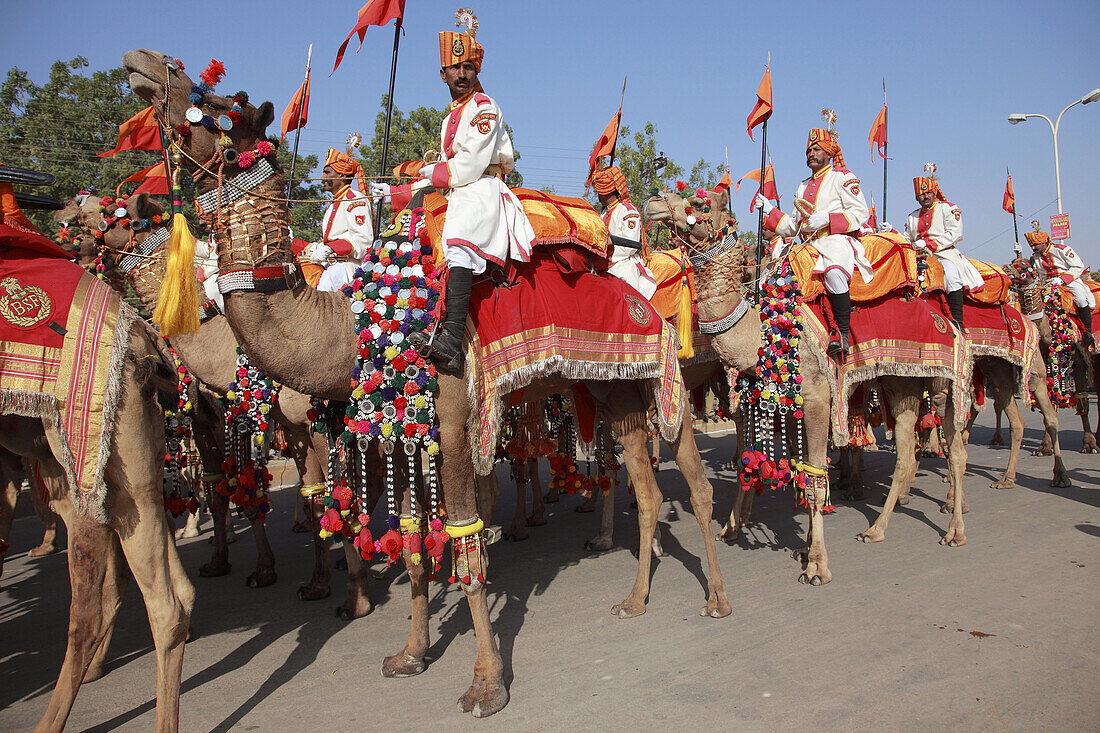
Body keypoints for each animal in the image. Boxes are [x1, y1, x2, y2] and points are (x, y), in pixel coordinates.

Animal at [126, 47, 730, 713]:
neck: (356, 324)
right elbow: (414, 546)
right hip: (610, 387)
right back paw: (635, 599)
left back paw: (716, 598)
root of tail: (645, 298)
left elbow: (466, 550)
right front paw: (410, 655)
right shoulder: (405, 434)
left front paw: (487, 685)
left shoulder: (454, 419)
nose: (145, 63)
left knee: (692, 480)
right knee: (644, 490)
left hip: (662, 378)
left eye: (219, 107)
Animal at [642, 188, 972, 548]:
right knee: (907, 450)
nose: (653, 201)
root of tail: (947, 322)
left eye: (699, 203)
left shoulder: (816, 398)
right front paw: (801, 542)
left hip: (942, 380)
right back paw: (876, 529)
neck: (764, 331)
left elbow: (814, 477)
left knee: (955, 446)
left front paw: (816, 559)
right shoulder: (785, 403)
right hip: (900, 381)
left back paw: (955, 528)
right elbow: (794, 468)